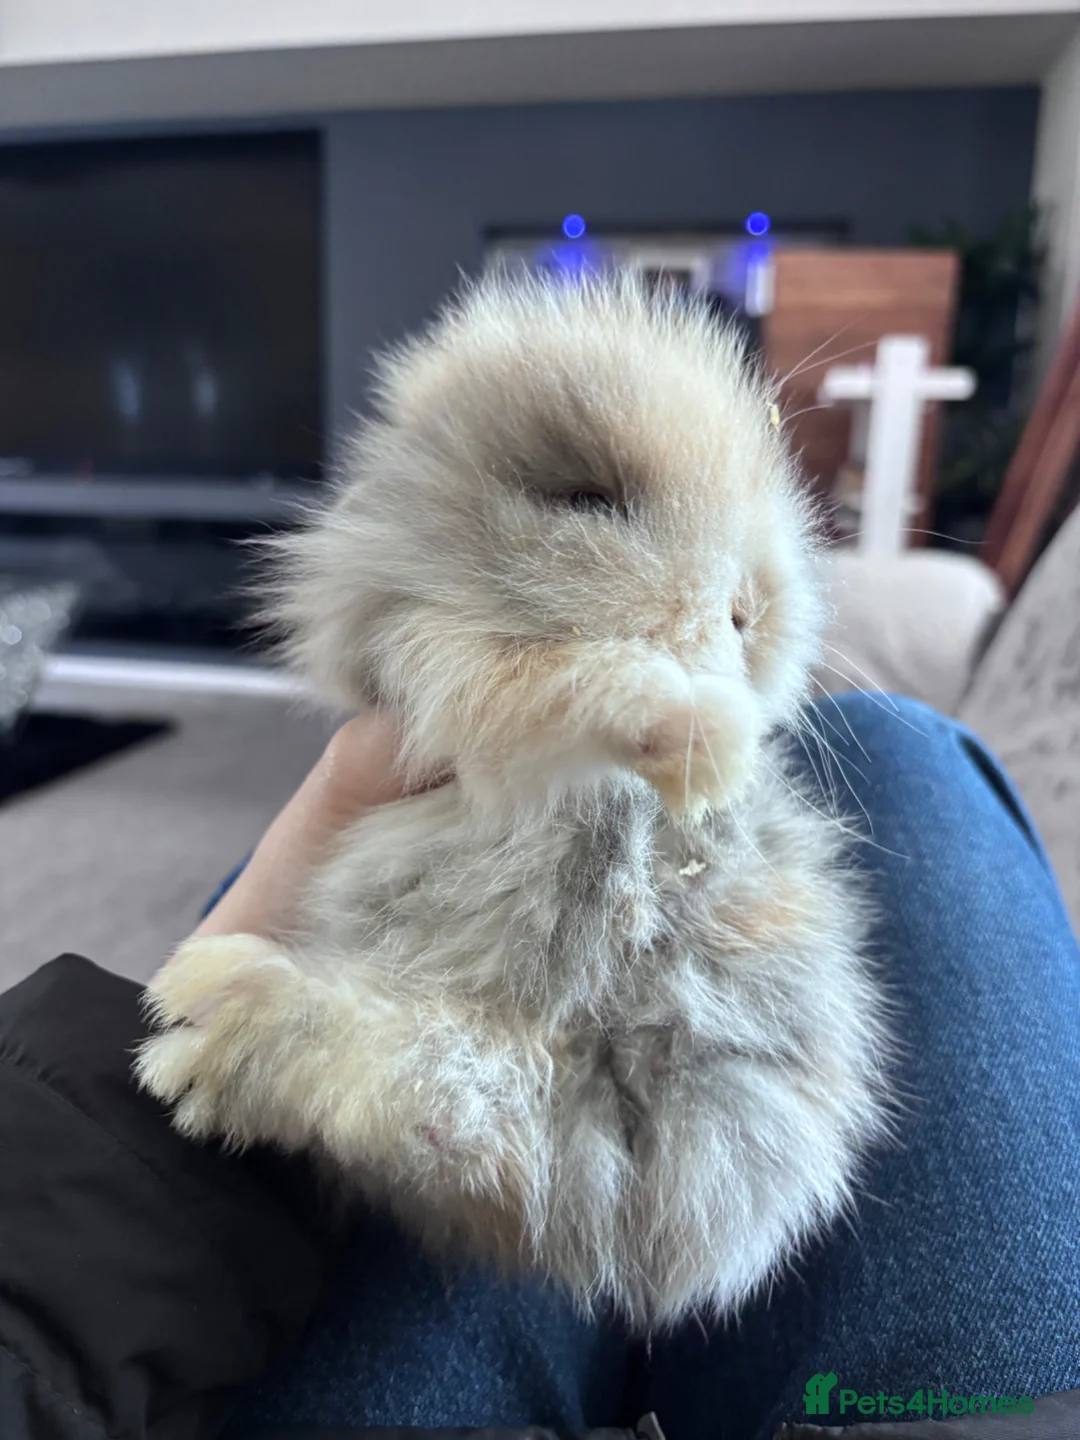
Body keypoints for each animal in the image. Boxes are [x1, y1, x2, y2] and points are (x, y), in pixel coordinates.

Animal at [135, 269, 892, 1331]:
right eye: (586, 500)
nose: (753, 609)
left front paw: (718, 759)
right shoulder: (439, 663)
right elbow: (558, 684)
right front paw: (702, 735)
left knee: (484, 1124)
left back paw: (227, 1030)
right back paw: (218, 1024)